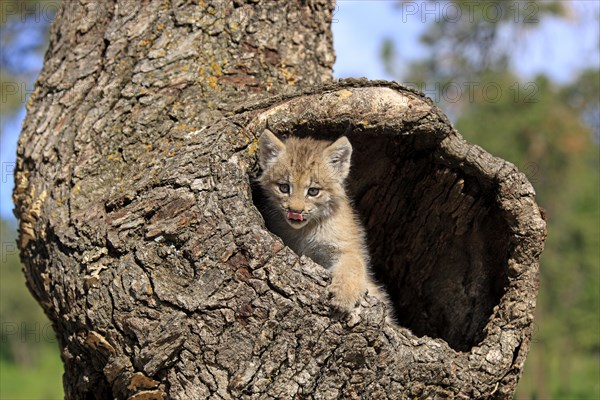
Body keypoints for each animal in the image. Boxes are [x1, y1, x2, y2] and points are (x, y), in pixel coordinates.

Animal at [258, 130, 390, 314]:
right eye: (284, 187)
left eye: (313, 191)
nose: (295, 211)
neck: (304, 230)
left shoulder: (346, 247)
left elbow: (354, 265)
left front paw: (344, 296)